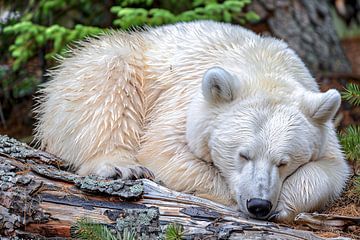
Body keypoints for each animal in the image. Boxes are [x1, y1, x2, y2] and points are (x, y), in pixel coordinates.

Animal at [33, 21, 348, 223]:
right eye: (243, 155)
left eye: (283, 162)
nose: (258, 204)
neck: (262, 67)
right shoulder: (184, 102)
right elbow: (164, 150)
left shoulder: (321, 125)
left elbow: (331, 171)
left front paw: (282, 207)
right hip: (109, 65)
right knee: (108, 83)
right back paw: (119, 166)